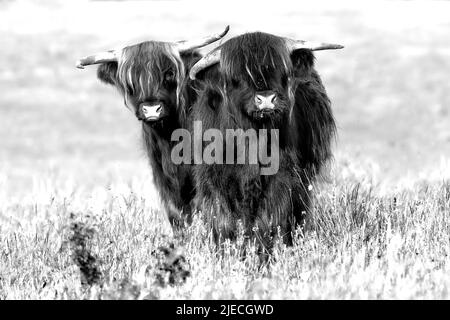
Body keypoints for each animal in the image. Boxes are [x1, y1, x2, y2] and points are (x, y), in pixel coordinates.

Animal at [188, 31, 342, 250]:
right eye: (236, 77)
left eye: (281, 72)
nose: (266, 98)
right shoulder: (214, 178)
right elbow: (224, 220)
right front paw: (226, 249)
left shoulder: (283, 176)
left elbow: (268, 220)